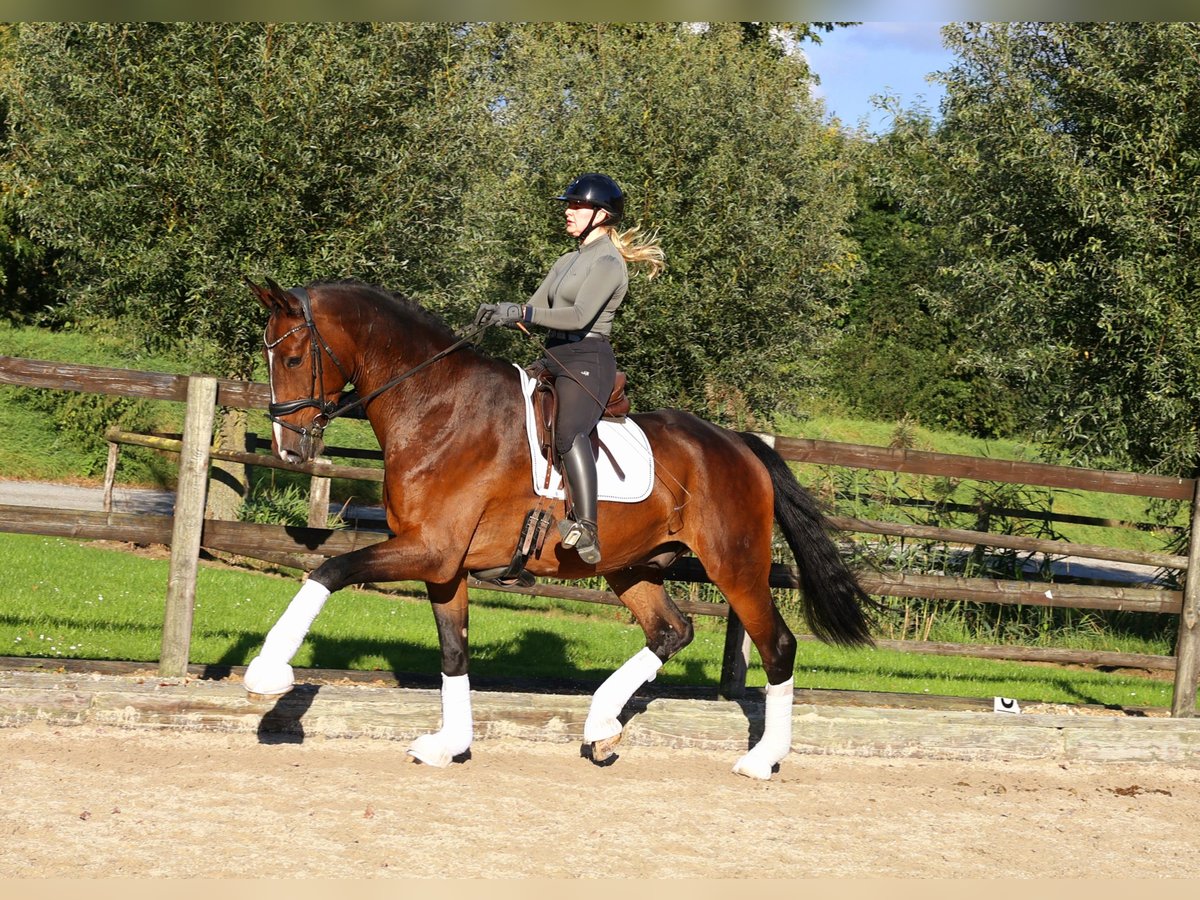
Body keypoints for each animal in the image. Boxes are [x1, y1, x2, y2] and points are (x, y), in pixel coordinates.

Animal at [246, 277, 883, 782]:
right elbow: (454, 651)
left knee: (776, 646)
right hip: (631, 566)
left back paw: (760, 759)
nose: (286, 446)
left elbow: (330, 569)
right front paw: (449, 744)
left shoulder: (429, 550)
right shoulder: (443, 565)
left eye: (294, 359)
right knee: (671, 631)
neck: (436, 405)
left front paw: (268, 672)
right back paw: (601, 724)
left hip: (736, 566)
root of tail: (739, 445)